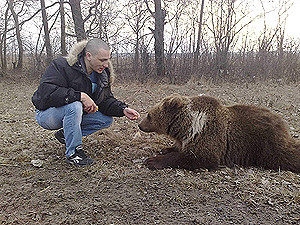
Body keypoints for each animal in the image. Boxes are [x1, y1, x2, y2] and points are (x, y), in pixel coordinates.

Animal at [138, 93, 300, 172]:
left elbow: (201, 157)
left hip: (266, 143)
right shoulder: (186, 137)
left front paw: (153, 160)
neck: (187, 125)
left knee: (285, 156)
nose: (140, 125)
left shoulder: (207, 134)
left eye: (149, 115)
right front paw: (165, 149)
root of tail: (281, 122)